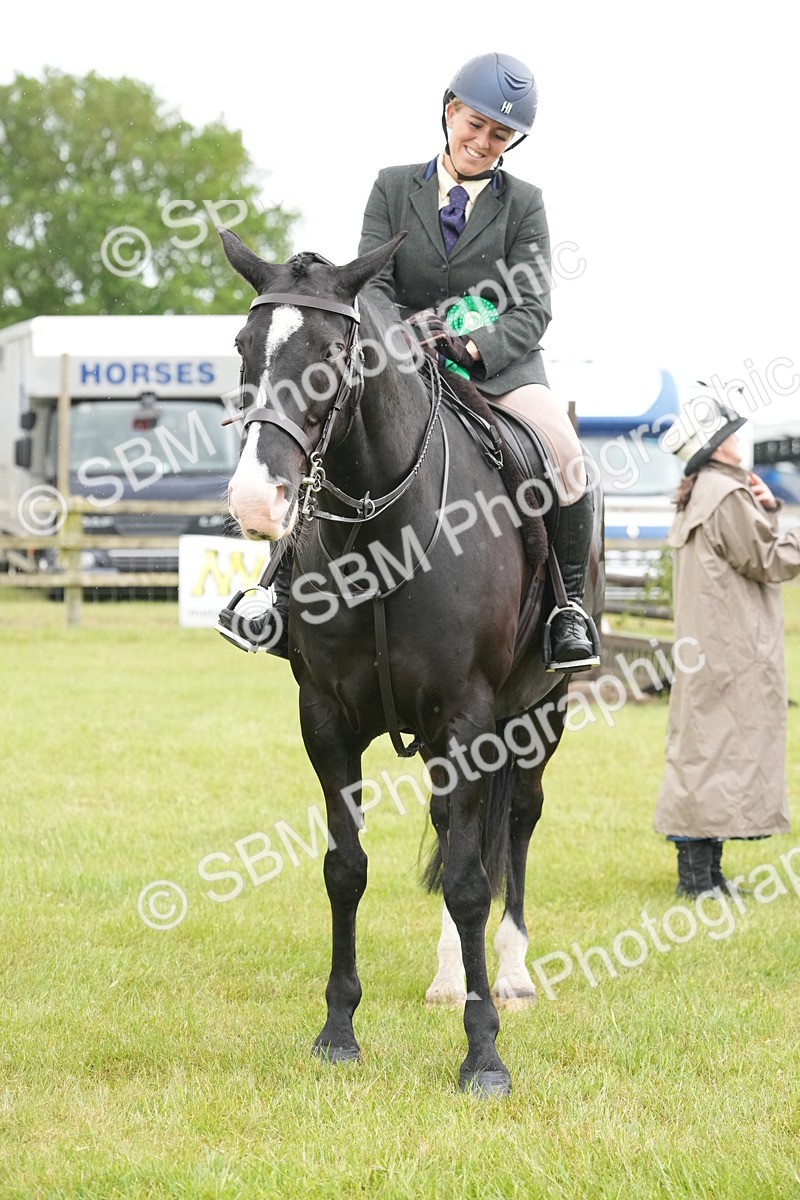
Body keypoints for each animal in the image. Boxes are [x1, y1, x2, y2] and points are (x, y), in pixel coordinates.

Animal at [217, 227, 604, 1096]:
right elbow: (347, 868)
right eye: (243, 345)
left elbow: (467, 879)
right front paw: (338, 1031)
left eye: (332, 353)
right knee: (452, 826)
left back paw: (510, 974)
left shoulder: (469, 718)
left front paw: (484, 1054)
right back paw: (449, 977)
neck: (381, 533)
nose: (257, 502)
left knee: (515, 826)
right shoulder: (326, 719)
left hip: (538, 716)